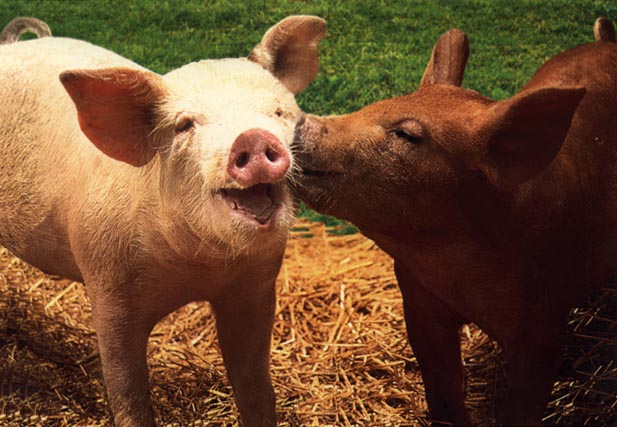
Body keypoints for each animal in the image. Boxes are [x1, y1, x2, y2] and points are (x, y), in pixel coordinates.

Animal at [0, 15, 328, 426]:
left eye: (278, 112)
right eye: (185, 125)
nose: (252, 138)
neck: (199, 266)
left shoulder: (256, 287)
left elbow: (255, 387)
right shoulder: (108, 287)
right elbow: (127, 392)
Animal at [294, 16, 616, 427]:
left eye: (406, 134)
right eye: (375, 105)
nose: (295, 120)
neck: (459, 275)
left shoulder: (544, 325)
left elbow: (522, 407)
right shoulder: (418, 302)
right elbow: (442, 391)